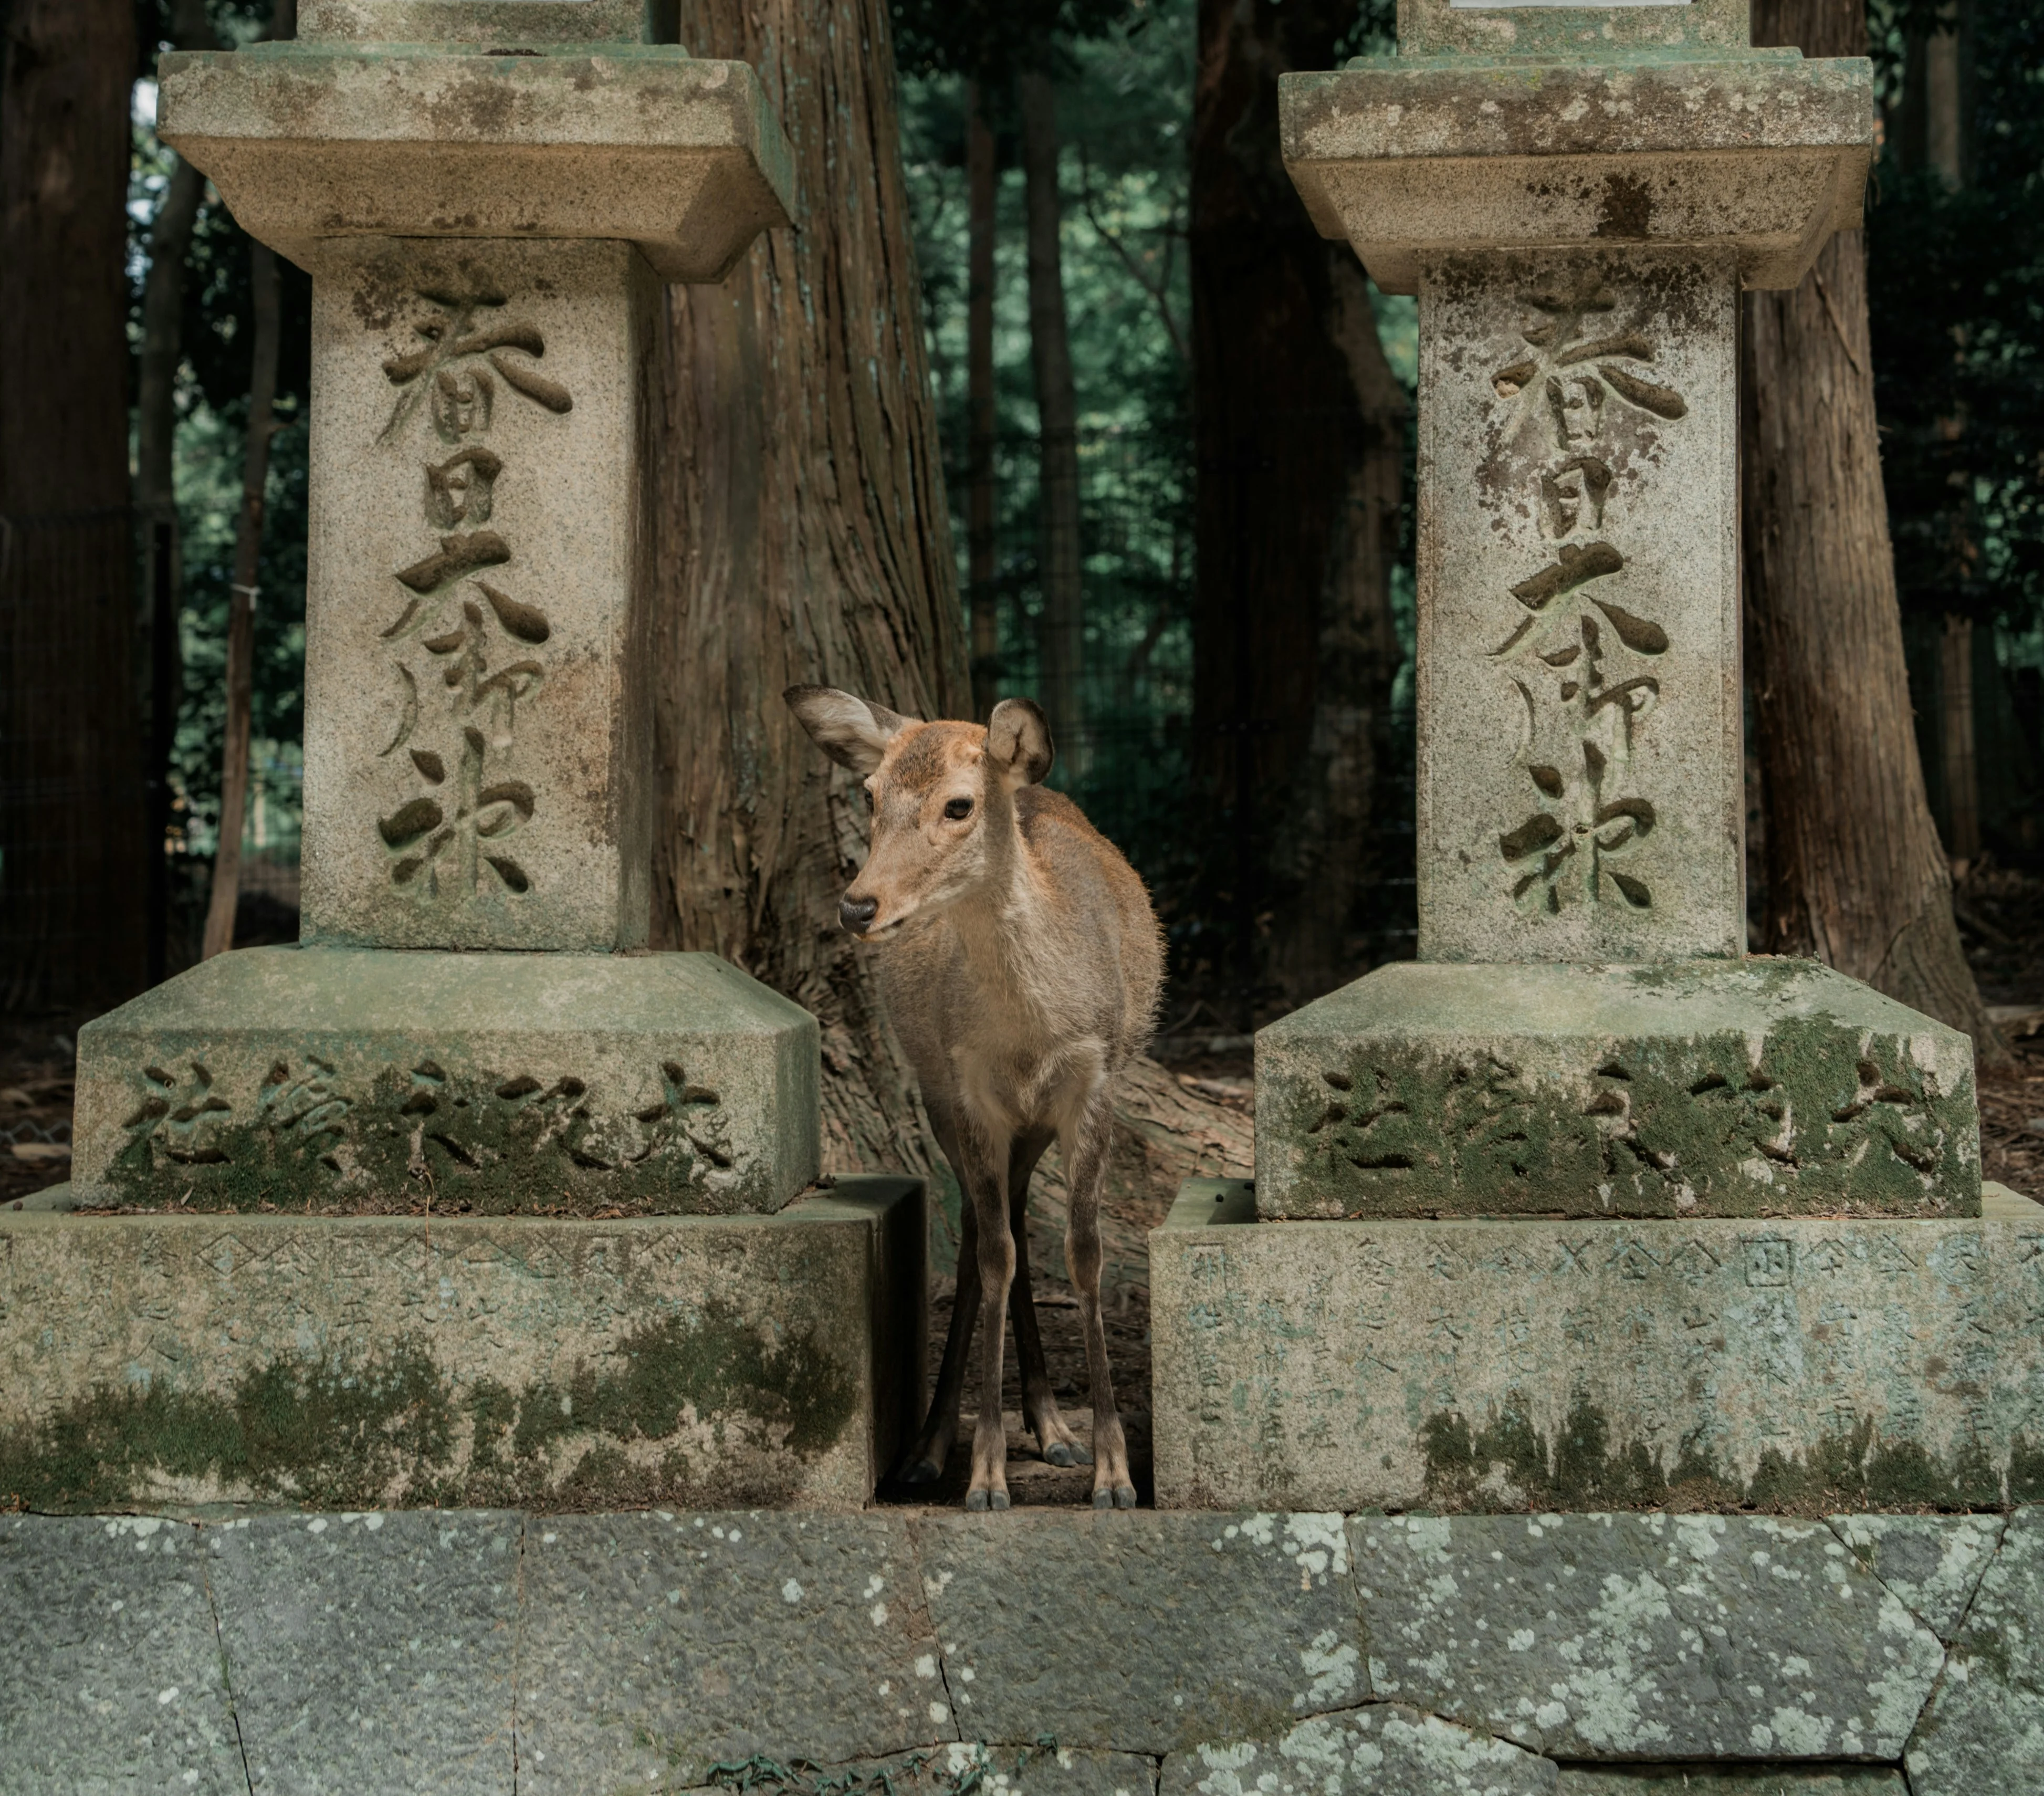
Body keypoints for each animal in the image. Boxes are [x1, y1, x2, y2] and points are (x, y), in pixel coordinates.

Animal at [784, 686, 1163, 1511]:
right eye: (870, 793)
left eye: (959, 805)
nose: (857, 908)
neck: (1031, 1031)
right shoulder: (968, 1091)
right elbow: (992, 1257)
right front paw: (986, 1476)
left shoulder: (1095, 1082)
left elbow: (1082, 1254)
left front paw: (1112, 1474)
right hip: (943, 1101)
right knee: (979, 1235)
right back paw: (932, 1450)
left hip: (1032, 1125)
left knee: (1017, 1218)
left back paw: (1053, 1429)